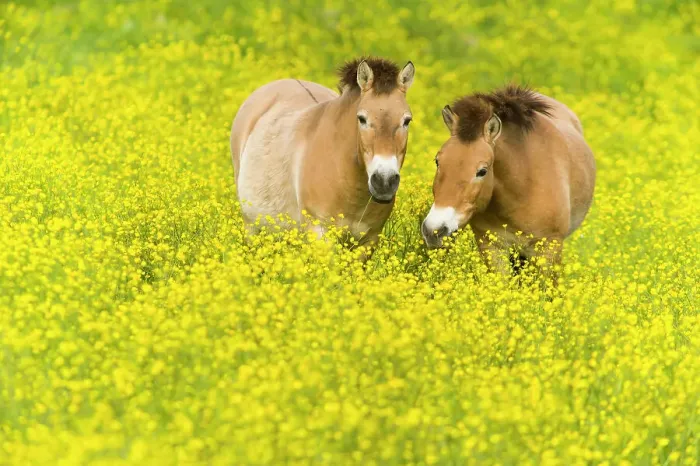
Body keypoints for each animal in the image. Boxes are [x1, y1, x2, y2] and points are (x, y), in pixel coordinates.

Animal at [230, 57, 415, 251]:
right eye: (362, 119)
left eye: (407, 120)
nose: (384, 182)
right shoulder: (320, 233)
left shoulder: (368, 240)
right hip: (252, 229)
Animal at [421, 85, 596, 285]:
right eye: (437, 162)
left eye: (482, 171)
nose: (433, 230)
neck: (523, 188)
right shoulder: (493, 247)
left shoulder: (549, 248)